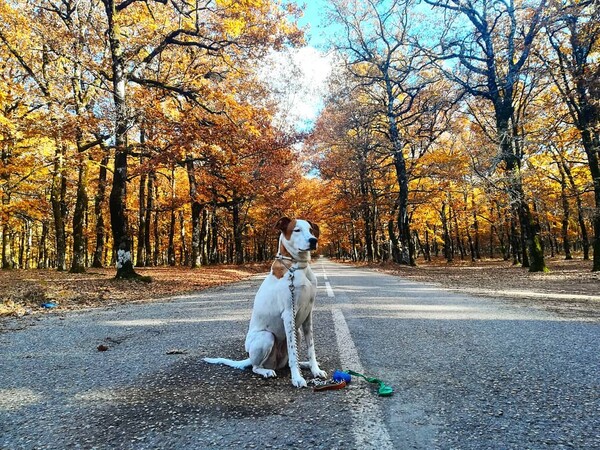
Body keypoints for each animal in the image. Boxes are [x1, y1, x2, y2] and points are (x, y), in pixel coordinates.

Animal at [206, 216, 328, 384]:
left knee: (286, 361)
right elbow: (293, 352)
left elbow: (311, 348)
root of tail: (249, 358)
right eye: (296, 230)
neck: (298, 267)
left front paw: (315, 369)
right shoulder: (288, 314)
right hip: (266, 337)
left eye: (310, 230)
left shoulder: (308, 315)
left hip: (297, 332)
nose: (313, 240)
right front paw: (297, 378)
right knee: (256, 367)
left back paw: (304, 364)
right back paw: (267, 371)